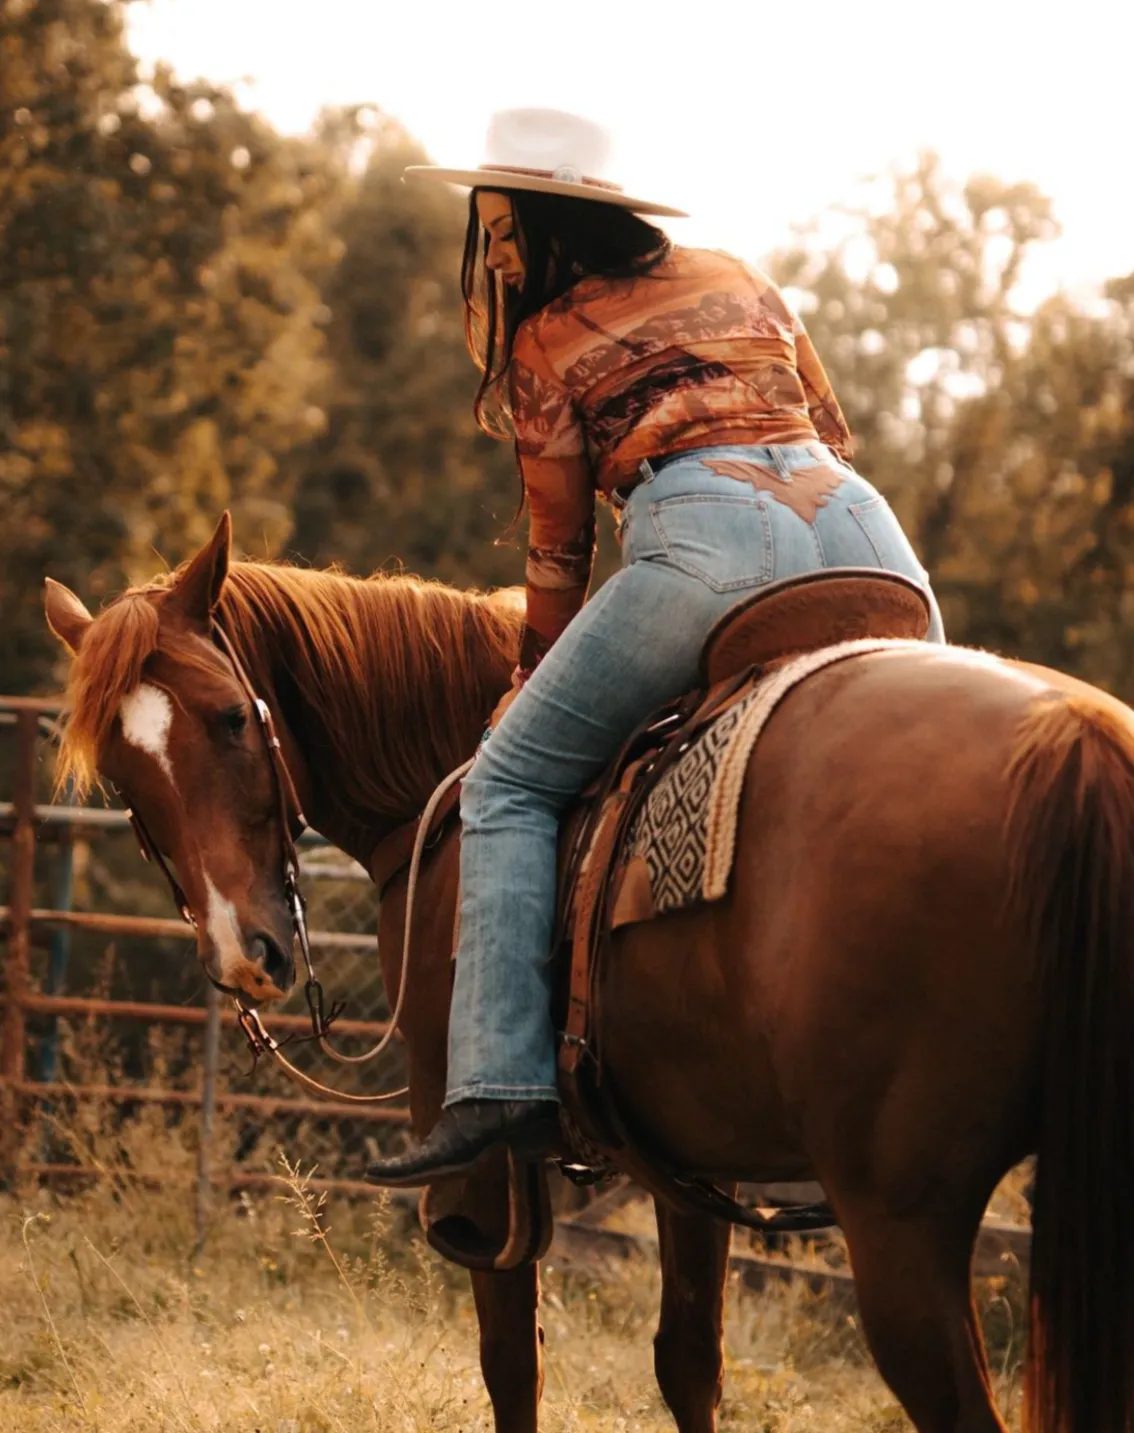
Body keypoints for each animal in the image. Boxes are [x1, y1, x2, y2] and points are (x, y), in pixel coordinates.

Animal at [46, 510, 1134, 1427]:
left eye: (233, 717)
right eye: (124, 777)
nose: (249, 950)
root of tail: (1073, 741)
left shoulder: (479, 1169)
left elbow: (511, 1363)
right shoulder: (689, 1160)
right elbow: (688, 1362)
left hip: (900, 1223)